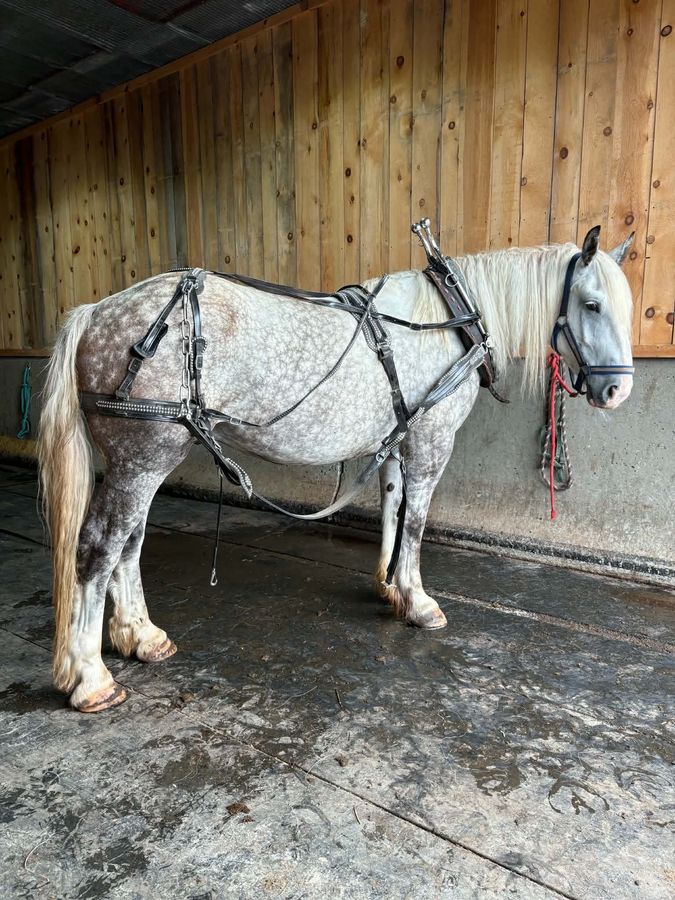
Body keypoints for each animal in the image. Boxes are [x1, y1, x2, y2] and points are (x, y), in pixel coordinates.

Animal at [38, 225, 635, 712]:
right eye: (591, 304)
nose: (616, 391)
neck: (447, 320)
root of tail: (97, 312)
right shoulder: (431, 439)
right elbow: (417, 520)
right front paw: (418, 601)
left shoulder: (394, 441)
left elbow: (392, 508)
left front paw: (390, 587)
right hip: (143, 458)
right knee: (99, 548)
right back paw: (91, 678)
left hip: (141, 462)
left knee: (130, 544)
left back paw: (141, 636)